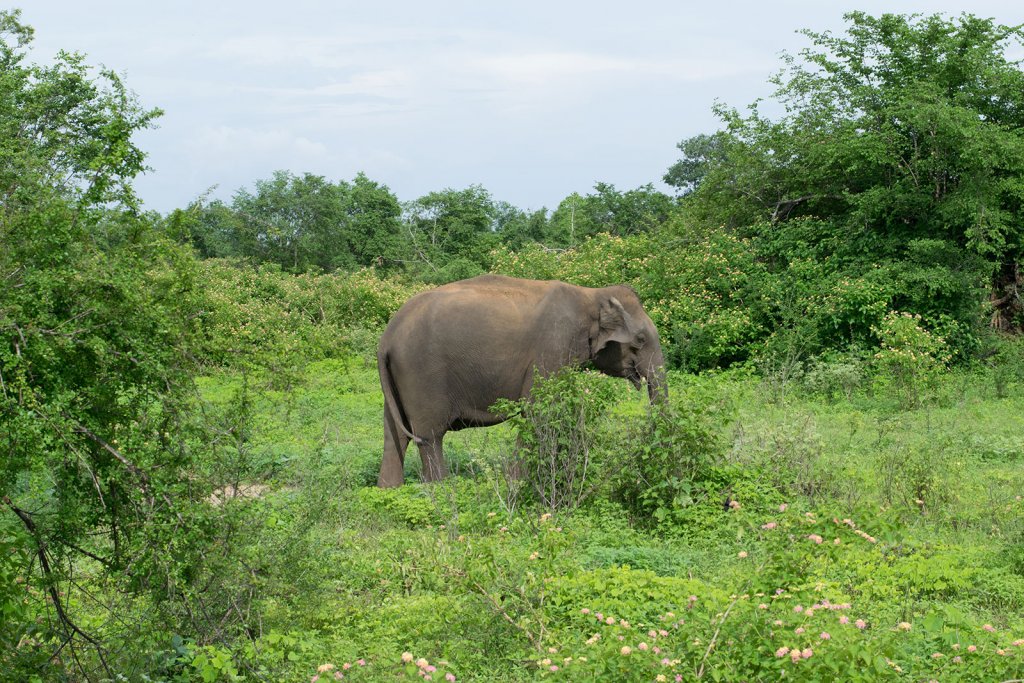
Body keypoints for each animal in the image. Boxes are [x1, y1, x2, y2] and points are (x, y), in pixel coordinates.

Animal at [374, 272, 663, 485]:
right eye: (640, 340)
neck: (591, 294)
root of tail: (387, 338)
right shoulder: (553, 346)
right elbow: (538, 412)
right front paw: (517, 483)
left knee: (393, 436)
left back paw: (390, 490)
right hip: (421, 374)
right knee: (429, 436)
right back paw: (442, 488)